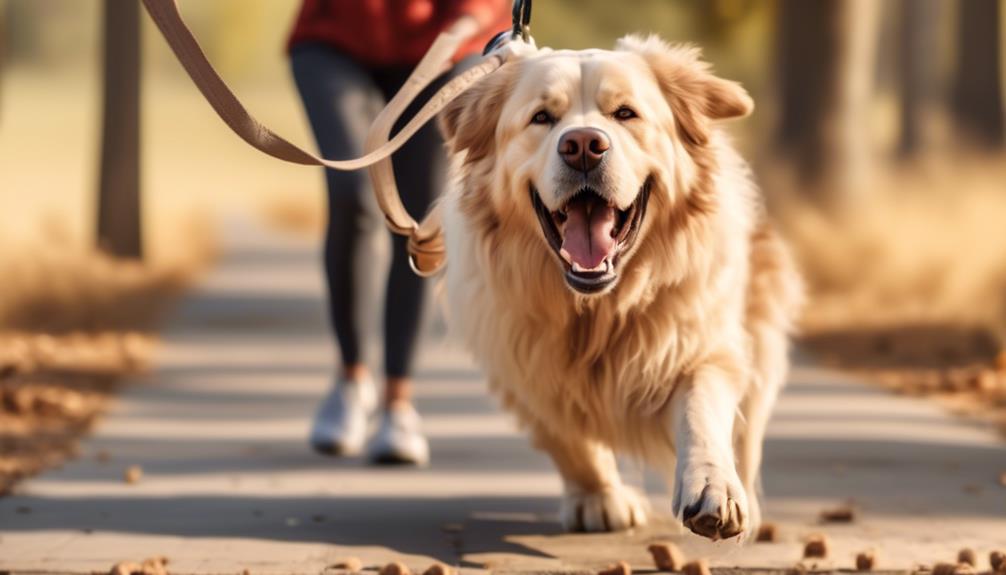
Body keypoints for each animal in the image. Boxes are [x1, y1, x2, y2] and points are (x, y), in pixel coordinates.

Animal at [440, 34, 800, 538]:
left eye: (625, 113)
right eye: (542, 117)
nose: (583, 145)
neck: (598, 309)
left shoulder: (698, 343)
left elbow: (702, 410)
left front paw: (715, 488)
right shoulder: (520, 365)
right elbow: (569, 440)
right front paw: (599, 497)